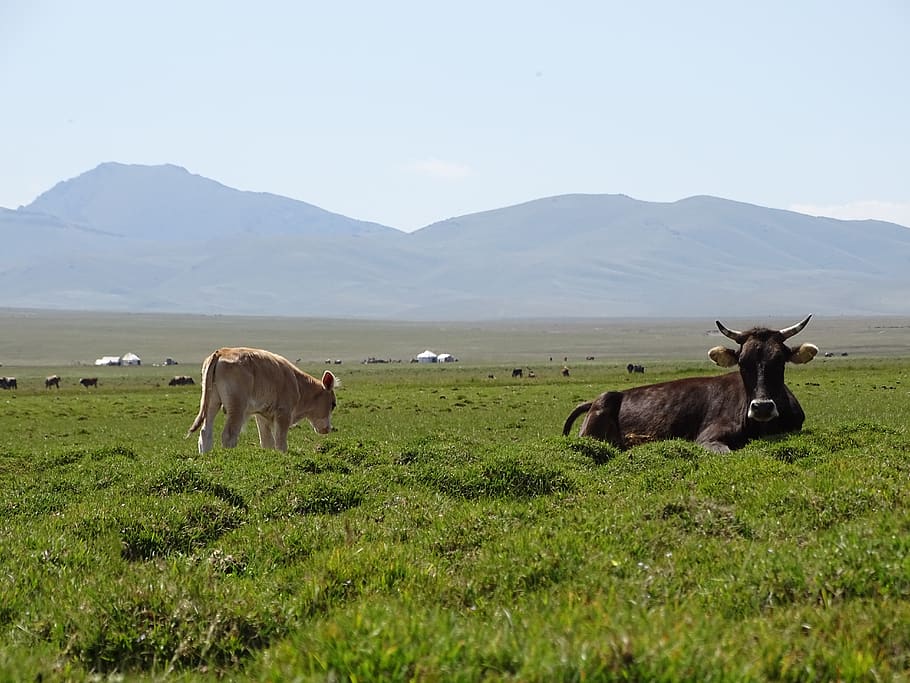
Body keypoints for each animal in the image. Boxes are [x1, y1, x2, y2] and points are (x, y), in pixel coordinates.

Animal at [187, 347, 337, 454]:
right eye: (333, 404)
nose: (328, 429)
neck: (298, 384)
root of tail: (222, 352)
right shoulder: (283, 413)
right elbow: (280, 442)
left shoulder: (262, 415)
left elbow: (267, 441)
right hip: (237, 407)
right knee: (228, 435)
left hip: (212, 402)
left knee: (205, 433)